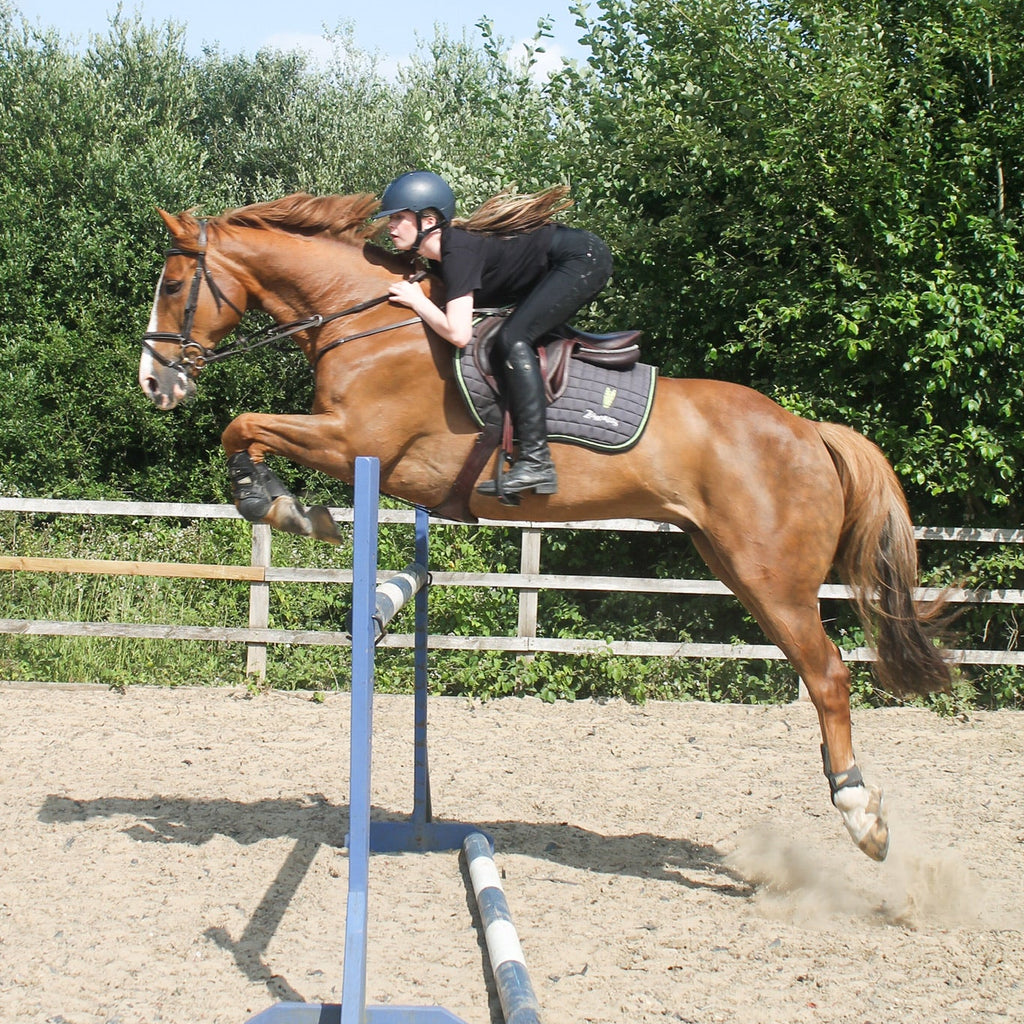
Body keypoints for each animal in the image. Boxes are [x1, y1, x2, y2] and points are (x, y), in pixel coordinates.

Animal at [139, 191, 951, 863]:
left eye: (173, 287)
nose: (154, 383)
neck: (367, 321)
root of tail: (809, 431)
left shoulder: (352, 442)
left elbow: (242, 424)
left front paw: (277, 504)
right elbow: (244, 428)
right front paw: (282, 503)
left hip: (772, 578)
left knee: (830, 676)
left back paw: (861, 816)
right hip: (732, 566)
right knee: (818, 672)